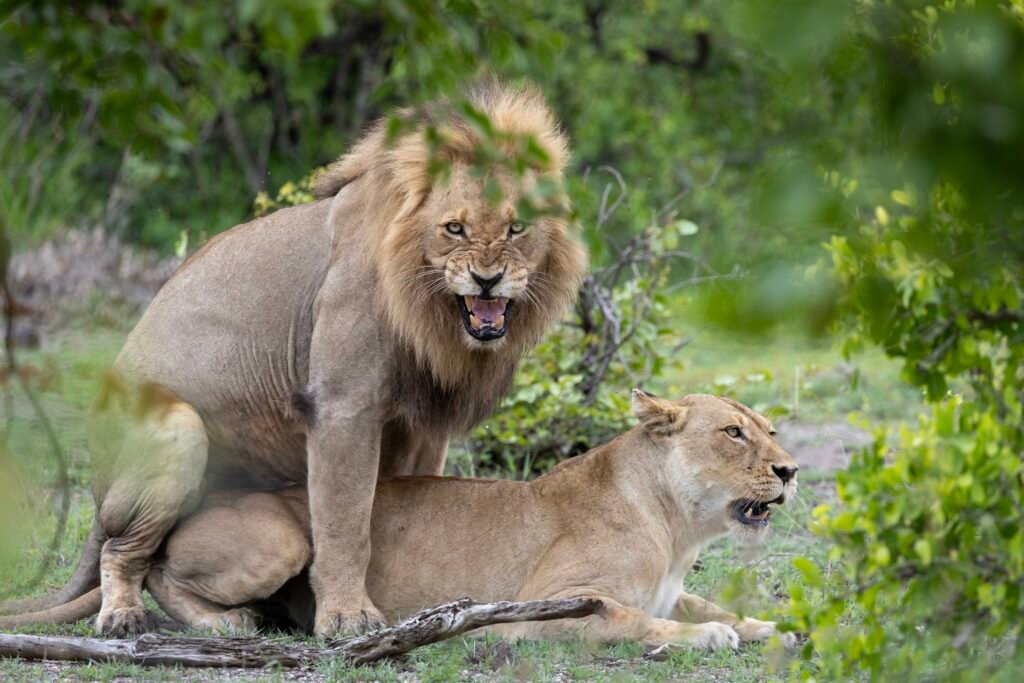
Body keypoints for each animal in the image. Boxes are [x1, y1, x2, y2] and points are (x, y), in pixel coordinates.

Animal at [0, 82, 587, 637]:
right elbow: (345, 523)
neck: (432, 314)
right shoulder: (342, 406)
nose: (488, 279)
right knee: (125, 554)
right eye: (455, 228)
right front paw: (347, 619)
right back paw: (133, 617)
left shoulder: (423, 424)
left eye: (516, 228)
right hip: (176, 430)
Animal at [3, 392, 799, 650]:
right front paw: (712, 637)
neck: (678, 527)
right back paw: (224, 624)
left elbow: (705, 601)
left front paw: (768, 625)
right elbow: (635, 619)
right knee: (155, 564)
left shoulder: (676, 584)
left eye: (770, 429)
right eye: (733, 433)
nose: (792, 470)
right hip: (283, 536)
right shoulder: (544, 607)